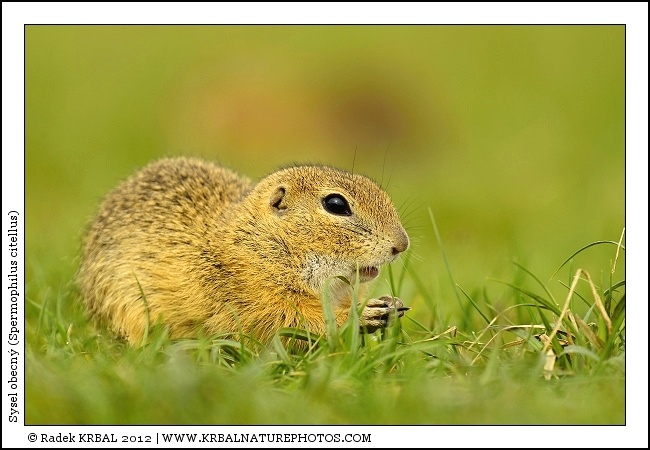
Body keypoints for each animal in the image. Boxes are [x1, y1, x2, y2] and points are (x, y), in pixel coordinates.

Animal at [77, 157, 410, 345]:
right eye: (336, 204)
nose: (402, 244)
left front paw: (389, 302)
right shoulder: (252, 300)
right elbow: (293, 321)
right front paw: (362, 314)